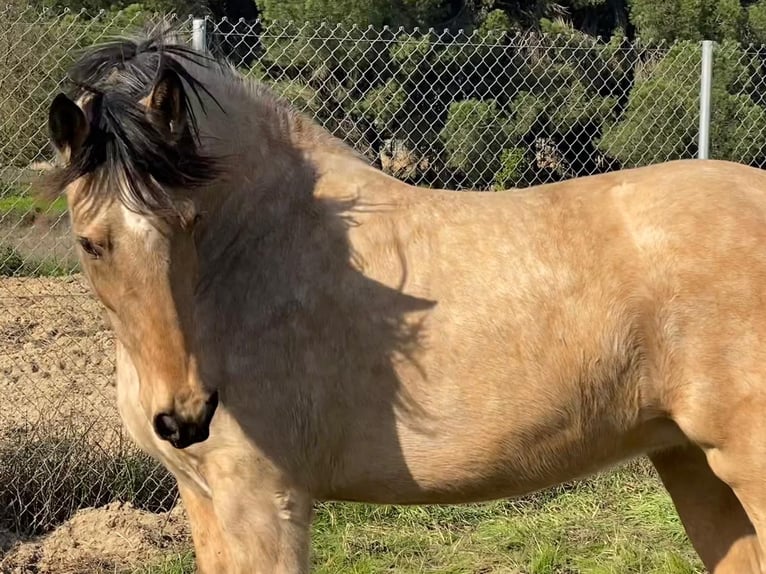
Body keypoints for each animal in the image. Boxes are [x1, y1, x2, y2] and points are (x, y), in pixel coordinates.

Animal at [43, 32, 766, 574]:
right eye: (90, 242)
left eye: (190, 222)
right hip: (691, 462)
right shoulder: (202, 500)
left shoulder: (263, 502)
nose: (185, 416)